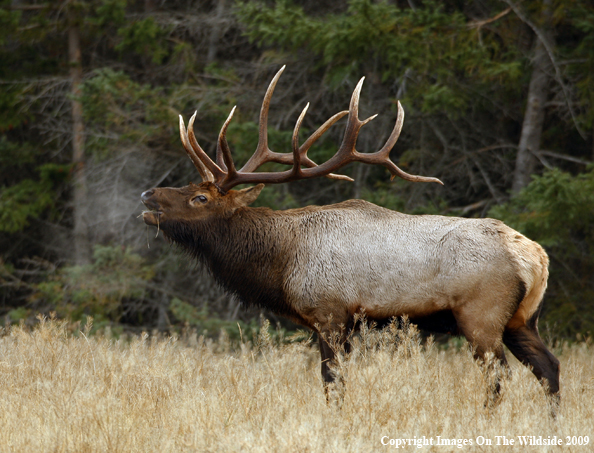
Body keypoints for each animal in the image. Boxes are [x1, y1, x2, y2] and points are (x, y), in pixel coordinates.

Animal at [141, 66, 556, 402]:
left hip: (481, 313)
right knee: (549, 368)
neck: (281, 264)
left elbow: (332, 382)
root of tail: (536, 258)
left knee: (499, 375)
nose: (148, 195)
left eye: (200, 197)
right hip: (522, 318)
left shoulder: (330, 313)